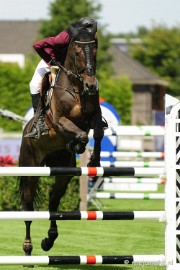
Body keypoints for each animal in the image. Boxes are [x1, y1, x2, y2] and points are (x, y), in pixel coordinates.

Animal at [18, 25, 105, 255]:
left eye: (95, 51)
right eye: (77, 52)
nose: (91, 85)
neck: (76, 87)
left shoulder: (93, 117)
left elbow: (97, 133)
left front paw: (93, 161)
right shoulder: (59, 121)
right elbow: (81, 133)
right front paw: (78, 144)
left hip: (63, 174)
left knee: (53, 201)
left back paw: (49, 240)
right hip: (30, 171)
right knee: (28, 207)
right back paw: (28, 247)